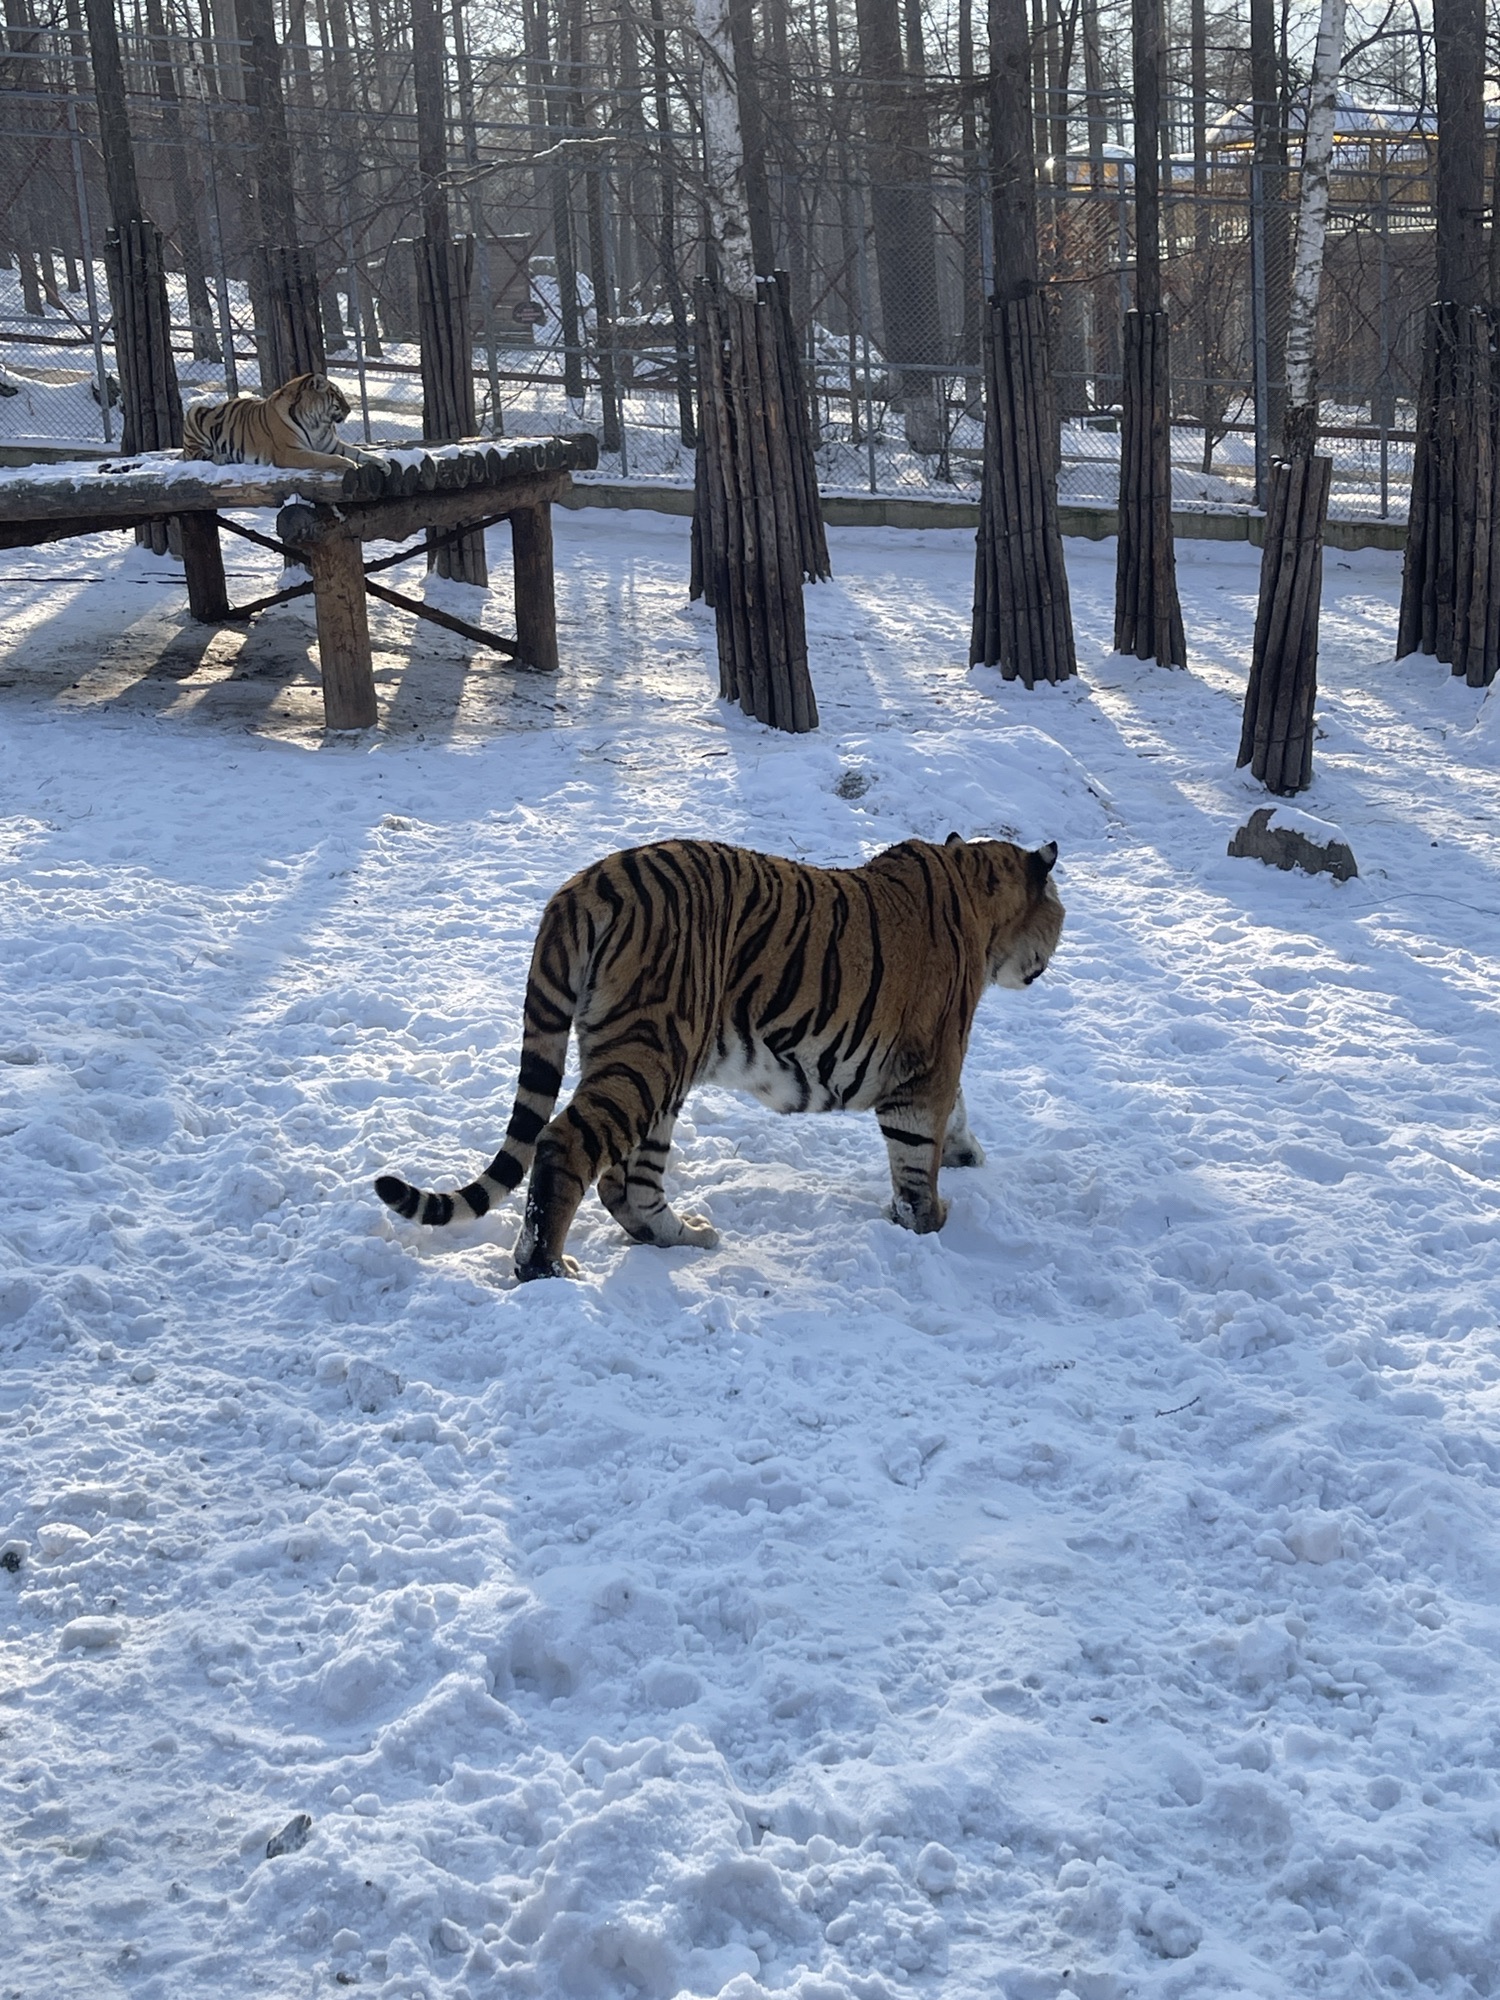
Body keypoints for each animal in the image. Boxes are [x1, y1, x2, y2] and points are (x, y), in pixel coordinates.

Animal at [182, 371, 357, 472]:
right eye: (337, 395)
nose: (349, 410)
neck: (317, 424)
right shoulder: (289, 452)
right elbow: (321, 458)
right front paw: (349, 464)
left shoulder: (331, 445)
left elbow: (358, 452)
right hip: (194, 411)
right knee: (196, 455)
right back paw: (222, 457)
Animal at [375, 834, 1065, 1282]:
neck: (977, 897)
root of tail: (583, 885)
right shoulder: (930, 1064)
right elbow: (917, 1156)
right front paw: (929, 1224)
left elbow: (957, 1114)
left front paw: (967, 1157)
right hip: (651, 1052)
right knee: (565, 1145)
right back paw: (544, 1267)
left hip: (658, 1067)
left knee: (626, 1180)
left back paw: (682, 1237)